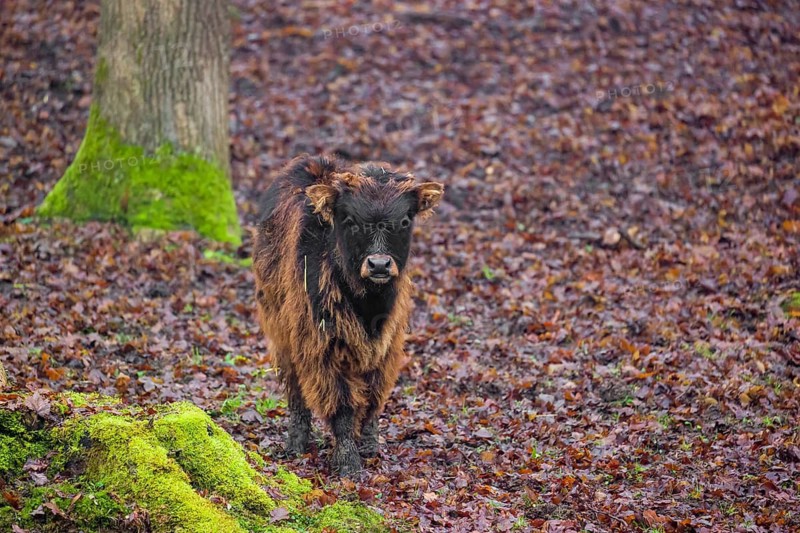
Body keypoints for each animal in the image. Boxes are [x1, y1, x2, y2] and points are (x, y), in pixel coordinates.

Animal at [253, 154, 444, 476]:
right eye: (350, 221)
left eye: (405, 220)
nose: (379, 264)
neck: (367, 306)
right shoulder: (320, 346)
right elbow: (341, 404)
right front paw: (348, 462)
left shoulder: (387, 345)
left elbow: (373, 399)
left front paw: (368, 445)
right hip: (281, 331)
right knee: (295, 390)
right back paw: (295, 444)